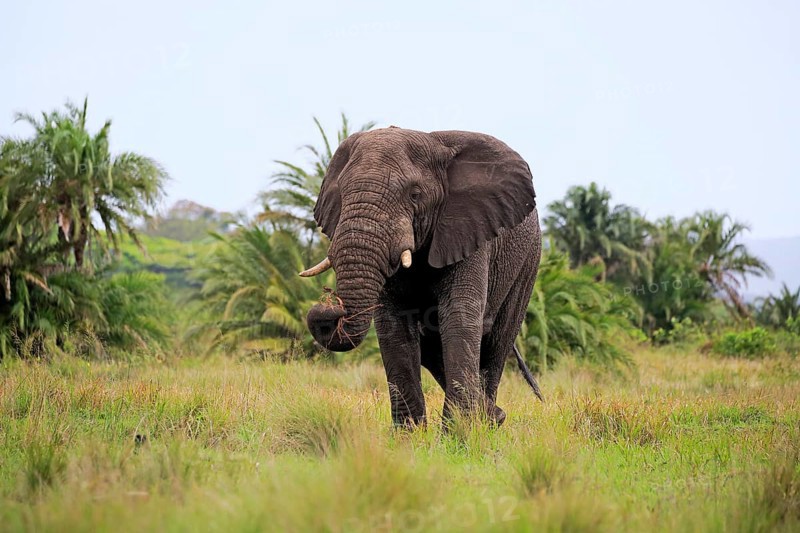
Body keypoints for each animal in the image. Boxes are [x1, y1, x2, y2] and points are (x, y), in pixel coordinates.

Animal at [300, 126, 543, 427]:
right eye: (342, 194)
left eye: (415, 195)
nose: (327, 307)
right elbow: (393, 326)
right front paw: (409, 434)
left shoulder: (469, 231)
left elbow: (459, 318)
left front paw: (457, 434)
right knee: (430, 346)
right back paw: (491, 414)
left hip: (528, 261)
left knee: (498, 341)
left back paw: (489, 420)